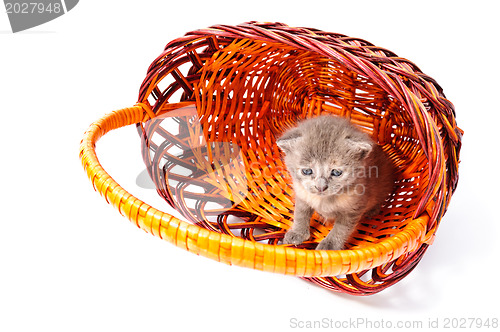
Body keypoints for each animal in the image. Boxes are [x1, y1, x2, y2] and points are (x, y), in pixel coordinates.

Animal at [278, 115, 394, 250]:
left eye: (336, 172)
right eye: (307, 171)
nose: (320, 187)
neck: (324, 200)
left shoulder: (353, 209)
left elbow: (341, 229)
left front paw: (330, 245)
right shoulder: (302, 196)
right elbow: (300, 214)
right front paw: (297, 233)